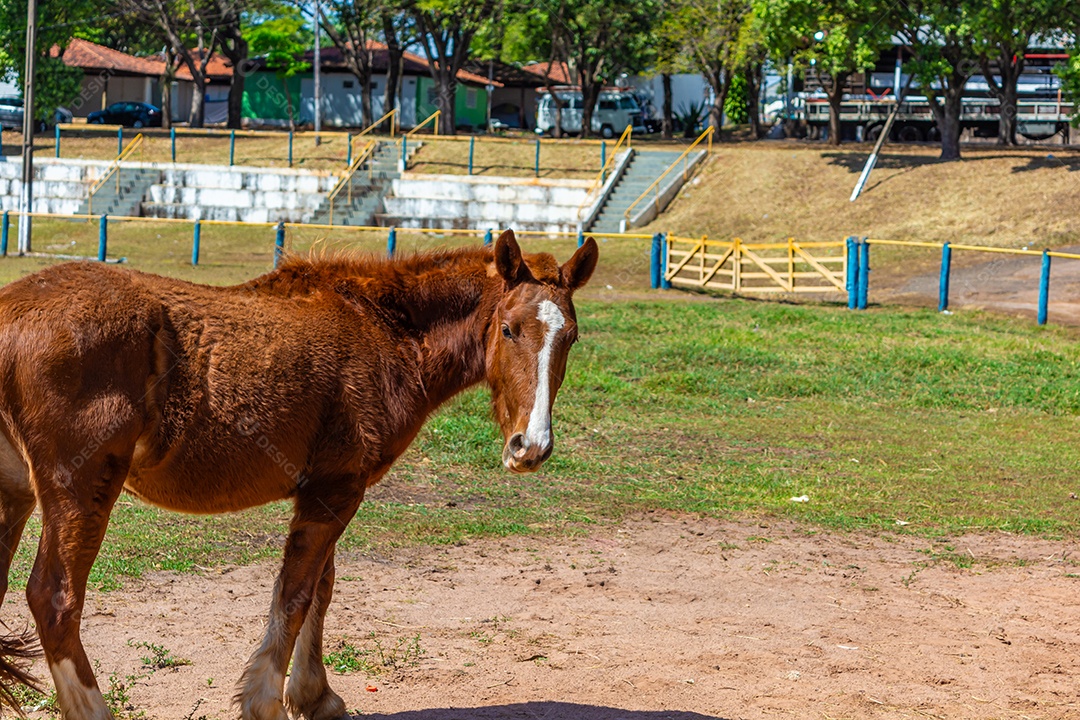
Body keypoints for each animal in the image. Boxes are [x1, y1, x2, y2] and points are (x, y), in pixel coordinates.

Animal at [0, 232, 600, 720]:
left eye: (570, 337)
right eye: (509, 329)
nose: (531, 447)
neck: (383, 330)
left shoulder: (330, 486)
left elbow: (321, 590)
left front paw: (315, 696)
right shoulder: (336, 489)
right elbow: (296, 592)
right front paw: (267, 700)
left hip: (15, 493)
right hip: (80, 489)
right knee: (54, 599)